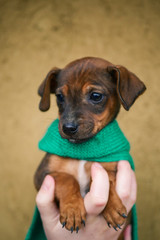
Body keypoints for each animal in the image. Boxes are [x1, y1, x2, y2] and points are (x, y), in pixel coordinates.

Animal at [34, 56, 146, 234]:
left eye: (96, 96)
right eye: (59, 97)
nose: (68, 128)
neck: (83, 150)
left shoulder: (114, 167)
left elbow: (107, 177)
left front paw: (113, 207)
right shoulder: (42, 174)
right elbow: (66, 178)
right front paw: (72, 211)